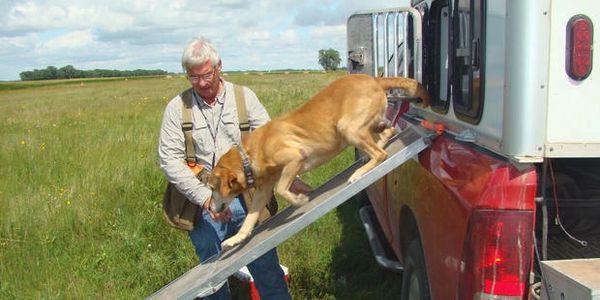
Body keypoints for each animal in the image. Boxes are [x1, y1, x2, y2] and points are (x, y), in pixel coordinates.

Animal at [209, 74, 428, 250]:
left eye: (212, 187)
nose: (210, 209)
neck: (247, 155)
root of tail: (373, 78)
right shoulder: (262, 191)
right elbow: (249, 220)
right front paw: (235, 239)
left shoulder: (295, 158)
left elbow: (282, 189)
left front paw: (299, 200)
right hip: (370, 125)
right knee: (387, 134)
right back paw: (369, 155)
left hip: (348, 128)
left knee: (381, 154)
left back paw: (360, 171)